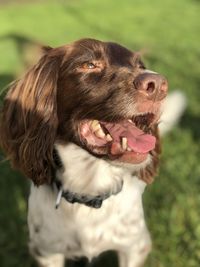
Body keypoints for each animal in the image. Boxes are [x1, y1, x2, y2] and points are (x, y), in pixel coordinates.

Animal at [0, 38, 186, 266]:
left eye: (140, 66)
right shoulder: (47, 251)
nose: (159, 85)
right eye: (89, 65)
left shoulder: (135, 247)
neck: (90, 190)